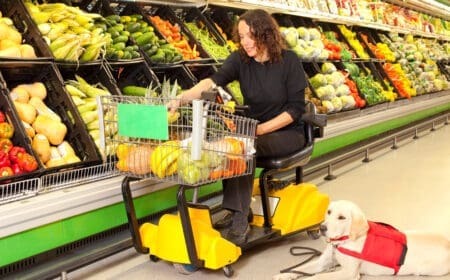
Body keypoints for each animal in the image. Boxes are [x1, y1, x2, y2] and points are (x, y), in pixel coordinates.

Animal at [272, 200, 448, 280]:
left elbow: (317, 277)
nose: (322, 228)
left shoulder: (348, 273)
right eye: (329, 212)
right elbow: (302, 268)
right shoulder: (323, 263)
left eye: (342, 217)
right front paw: (283, 276)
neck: (342, 242)